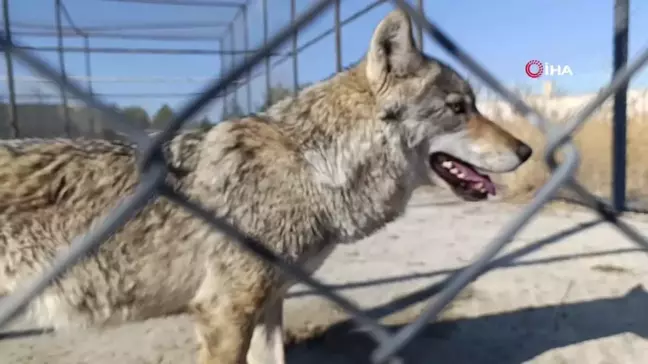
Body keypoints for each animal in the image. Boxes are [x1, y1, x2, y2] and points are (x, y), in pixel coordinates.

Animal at [0, 8, 532, 364]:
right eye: (458, 109)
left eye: (474, 105)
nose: (528, 151)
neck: (311, 168)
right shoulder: (224, 311)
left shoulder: (269, 305)